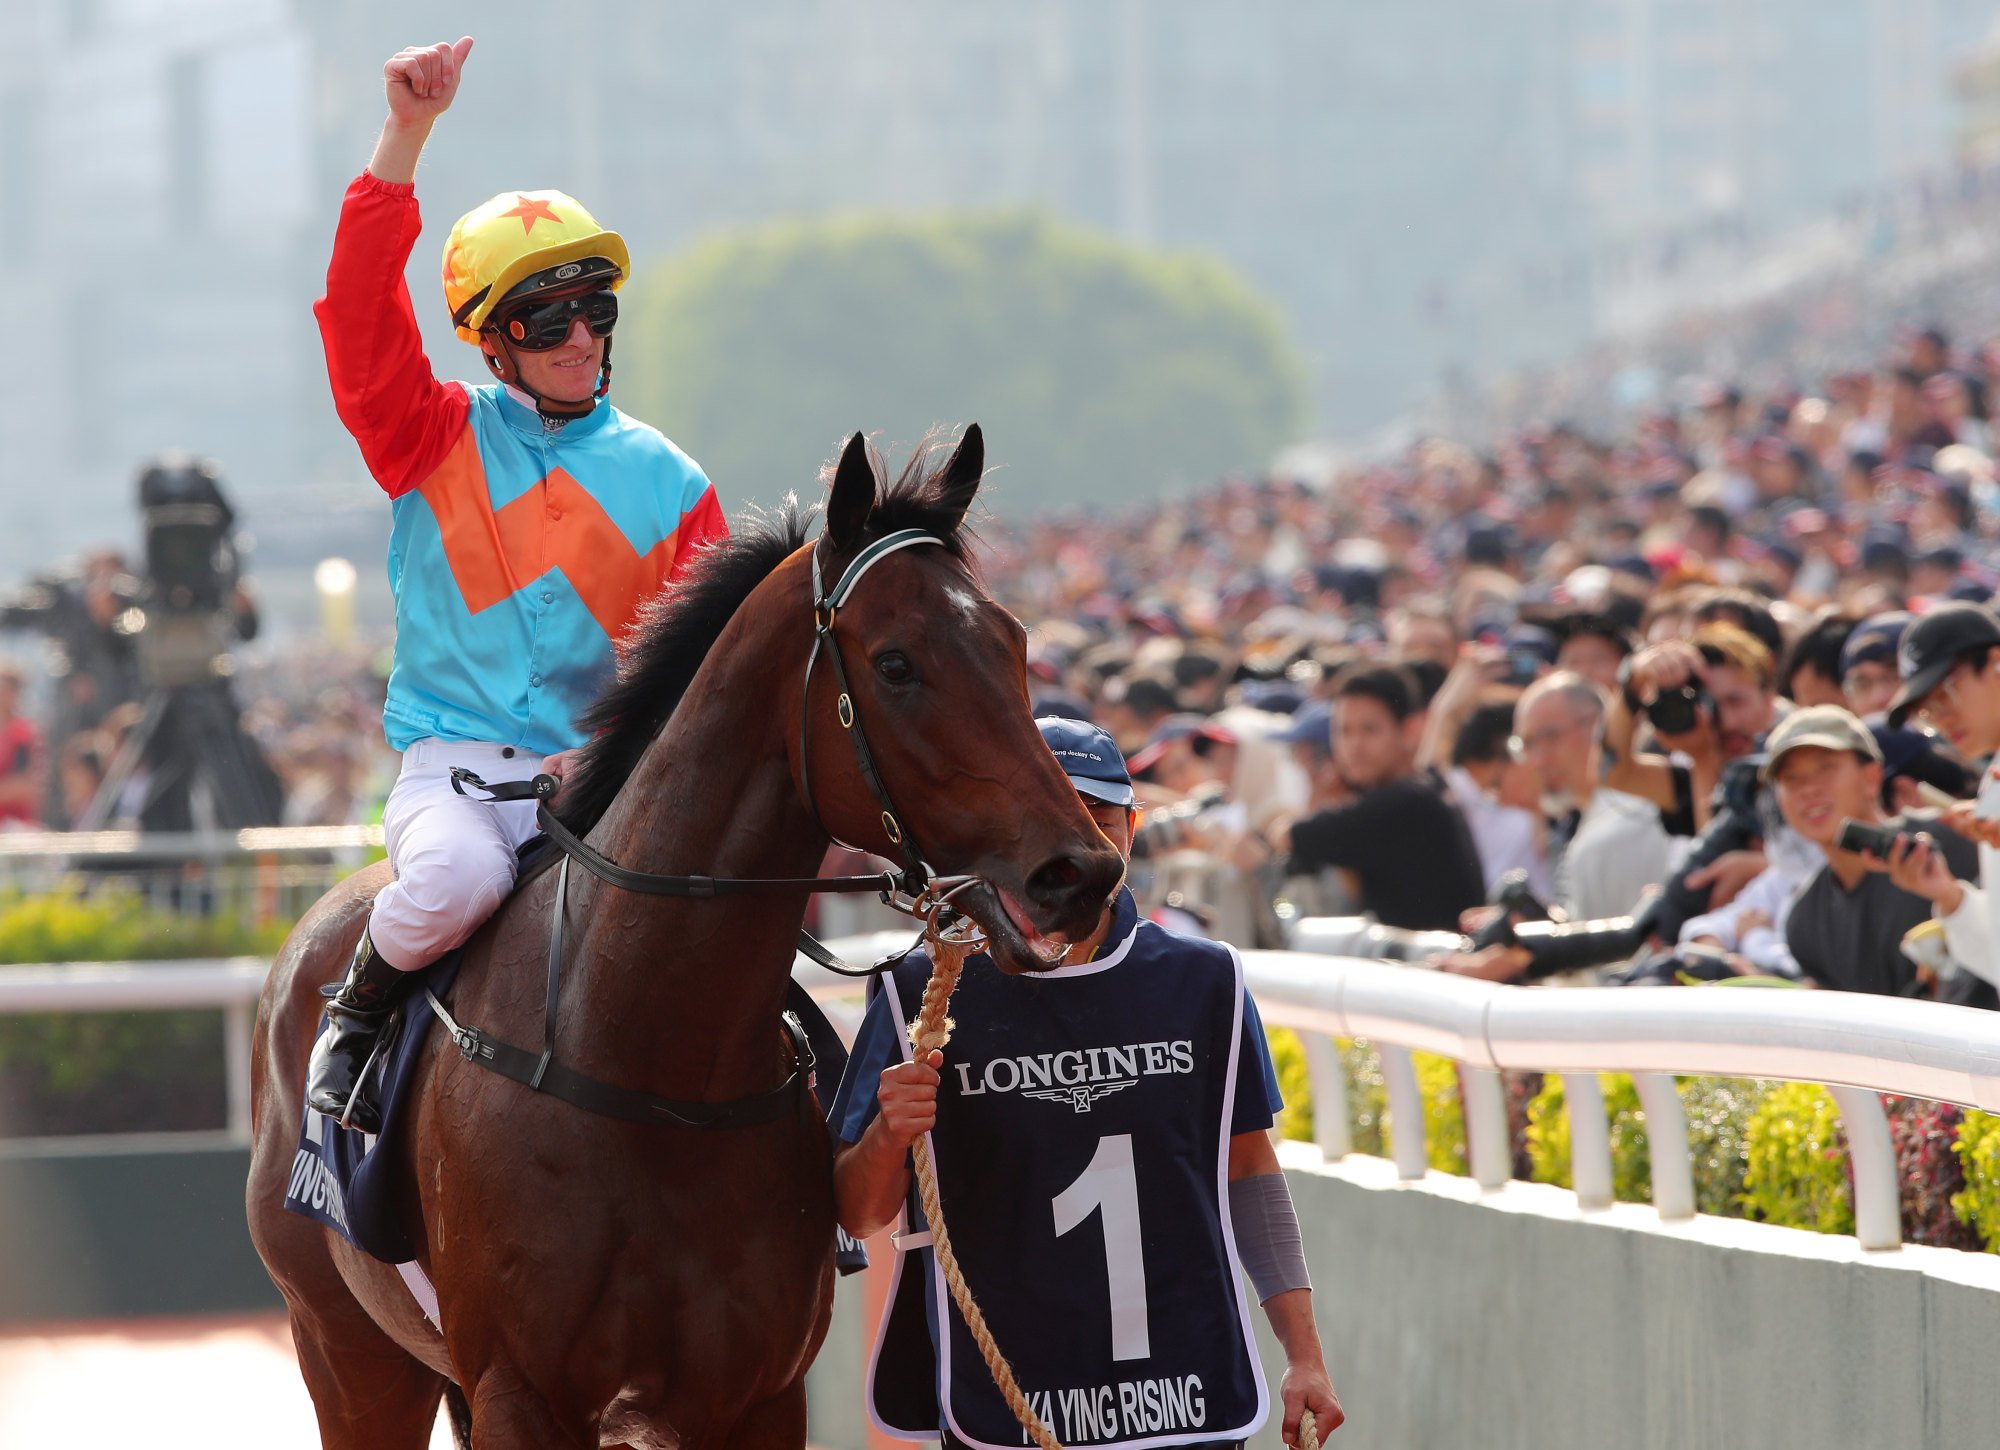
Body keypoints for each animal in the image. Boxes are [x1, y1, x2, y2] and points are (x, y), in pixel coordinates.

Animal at [244, 424, 1128, 1440]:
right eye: (897, 662)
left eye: (1014, 642)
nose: (1079, 872)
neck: (651, 1072)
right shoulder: (522, 1392)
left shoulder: (753, 1396)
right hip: (346, 1350)